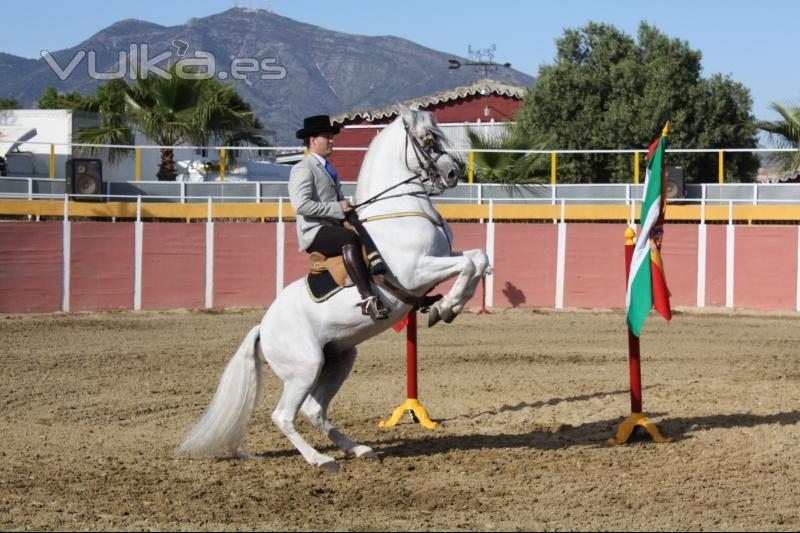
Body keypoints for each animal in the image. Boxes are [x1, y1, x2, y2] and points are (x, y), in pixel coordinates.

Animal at [180, 107, 494, 470]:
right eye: (427, 139)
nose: (453, 172)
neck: (397, 210)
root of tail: (263, 328)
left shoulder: (440, 259)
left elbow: (477, 258)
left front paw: (448, 308)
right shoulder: (416, 271)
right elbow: (469, 265)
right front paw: (445, 308)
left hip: (339, 360)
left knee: (314, 411)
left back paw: (358, 449)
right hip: (304, 368)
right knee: (284, 416)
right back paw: (321, 460)